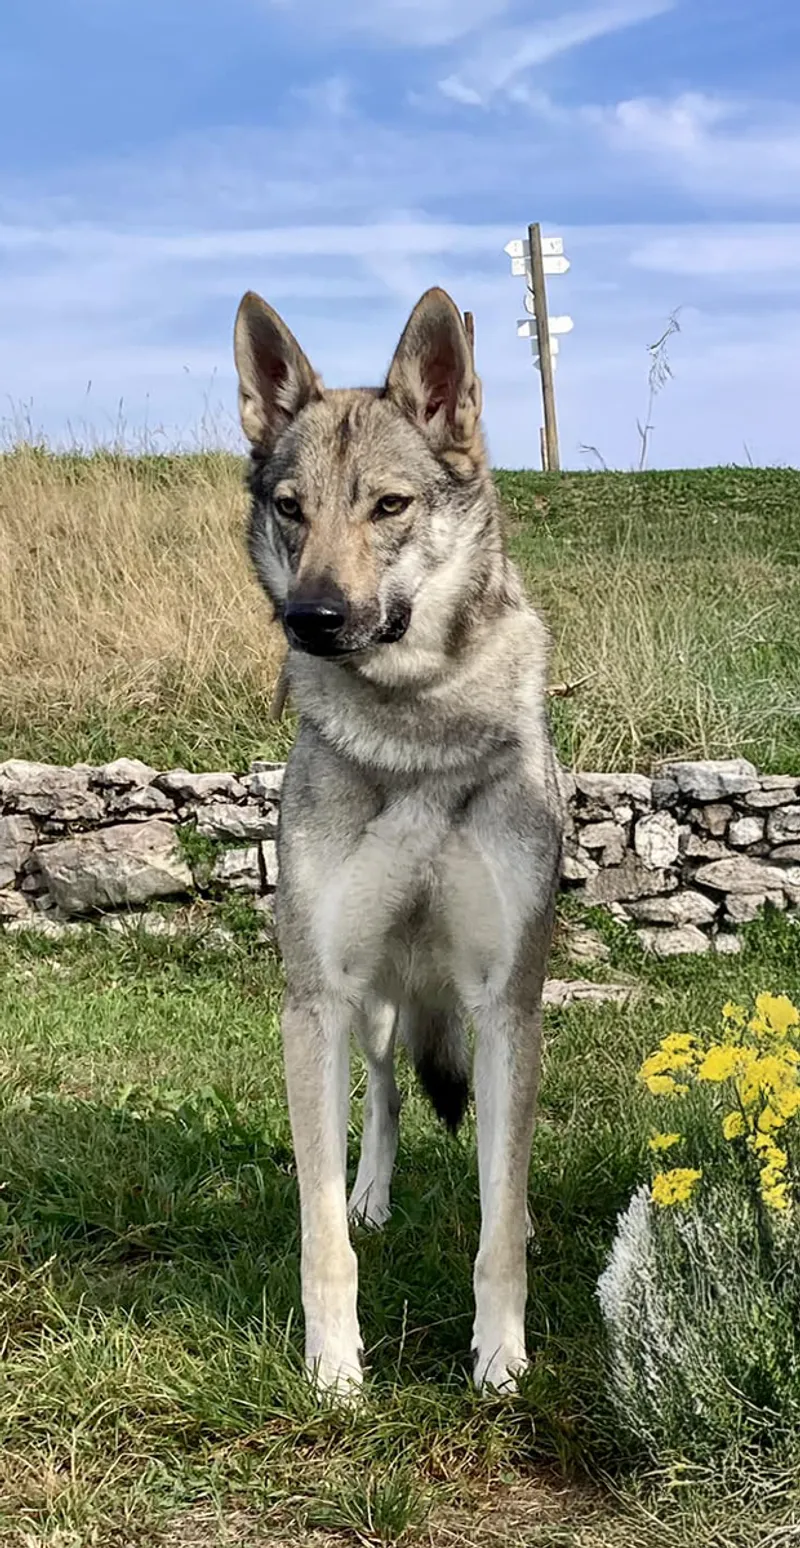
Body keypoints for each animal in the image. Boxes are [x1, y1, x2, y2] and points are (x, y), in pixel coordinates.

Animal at [233, 286, 564, 1396]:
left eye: (389, 506)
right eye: (292, 508)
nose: (311, 617)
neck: (415, 727)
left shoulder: (506, 1003)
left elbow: (496, 1221)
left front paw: (500, 1364)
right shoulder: (316, 999)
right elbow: (318, 1233)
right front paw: (335, 1371)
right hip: (373, 1008)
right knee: (380, 1100)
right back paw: (371, 1194)